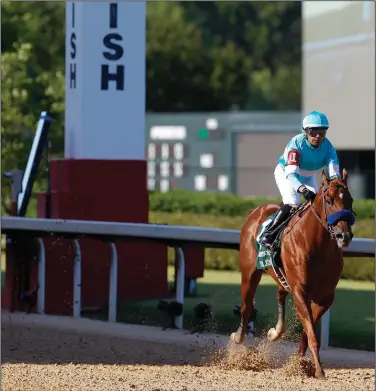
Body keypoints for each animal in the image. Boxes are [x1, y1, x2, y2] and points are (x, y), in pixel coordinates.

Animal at [231, 169, 356, 380]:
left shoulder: (325, 297)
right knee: (246, 307)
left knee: (279, 293)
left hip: (281, 276)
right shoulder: (300, 291)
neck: (317, 246)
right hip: (249, 272)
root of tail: (255, 211)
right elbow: (311, 330)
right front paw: (319, 370)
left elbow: (308, 330)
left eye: (350, 200)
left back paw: (276, 332)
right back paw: (238, 336)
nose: (343, 235)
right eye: (329, 200)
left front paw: (301, 363)